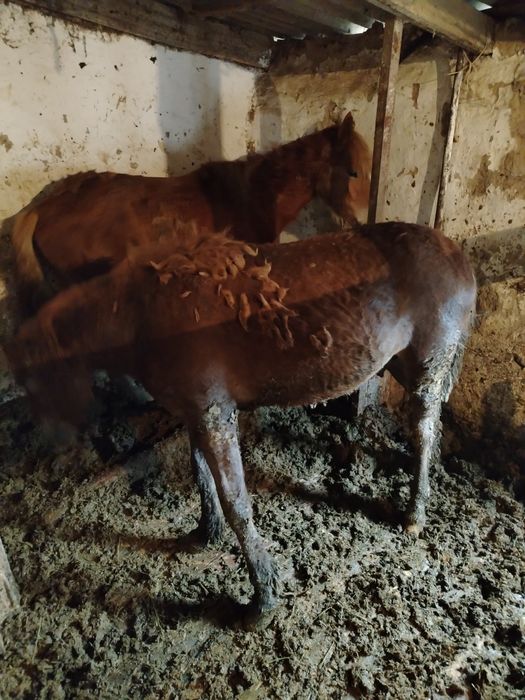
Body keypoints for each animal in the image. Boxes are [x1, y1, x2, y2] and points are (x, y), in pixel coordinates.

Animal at [4, 221, 476, 616]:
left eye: (33, 380)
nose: (55, 443)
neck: (139, 314)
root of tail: (456, 253)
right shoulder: (197, 412)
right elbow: (200, 475)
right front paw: (205, 531)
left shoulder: (215, 415)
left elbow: (237, 502)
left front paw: (262, 596)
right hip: (403, 364)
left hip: (429, 366)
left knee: (424, 432)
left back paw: (415, 512)